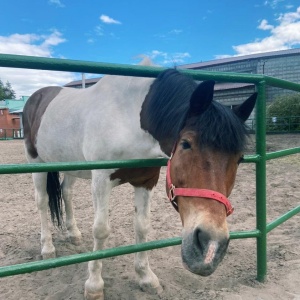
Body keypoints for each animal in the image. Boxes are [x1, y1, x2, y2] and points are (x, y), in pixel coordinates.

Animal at [22, 59, 255, 298]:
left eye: (240, 158)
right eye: (185, 144)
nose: (211, 247)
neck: (129, 118)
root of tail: (36, 97)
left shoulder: (146, 181)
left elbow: (142, 227)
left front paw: (146, 277)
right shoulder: (101, 180)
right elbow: (101, 230)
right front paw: (94, 285)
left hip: (70, 166)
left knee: (66, 193)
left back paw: (74, 234)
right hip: (37, 162)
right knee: (41, 201)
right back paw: (47, 248)